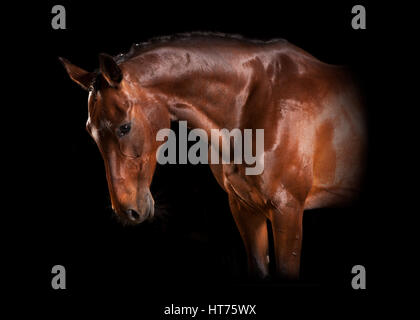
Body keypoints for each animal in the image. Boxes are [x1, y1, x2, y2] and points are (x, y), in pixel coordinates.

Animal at [60, 31, 366, 278]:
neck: (258, 103)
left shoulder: (287, 211)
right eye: (90, 131)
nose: (128, 211)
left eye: (125, 127)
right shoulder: (245, 209)